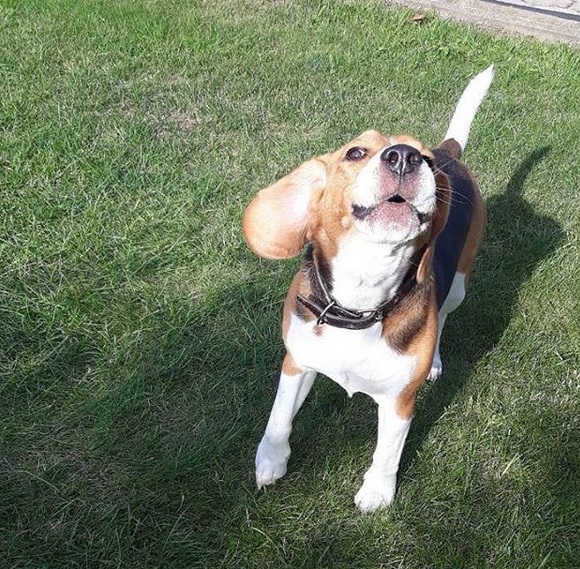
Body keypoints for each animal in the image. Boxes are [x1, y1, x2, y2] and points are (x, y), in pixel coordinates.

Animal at [242, 65, 492, 510]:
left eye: (424, 160)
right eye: (356, 153)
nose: (407, 157)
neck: (361, 296)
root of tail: (450, 154)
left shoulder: (399, 402)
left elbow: (387, 450)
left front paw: (377, 491)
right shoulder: (297, 361)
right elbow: (279, 415)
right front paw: (270, 459)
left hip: (459, 285)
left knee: (444, 315)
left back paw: (436, 361)